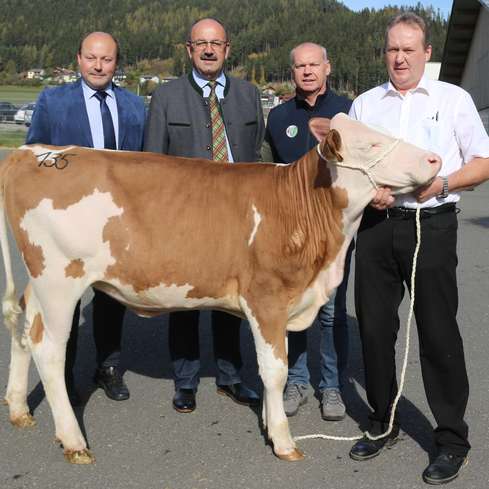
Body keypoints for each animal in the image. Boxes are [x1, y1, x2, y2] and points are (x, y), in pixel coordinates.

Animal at [0, 113, 440, 462]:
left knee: (22, 331)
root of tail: (33, 152)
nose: (434, 158)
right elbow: (274, 370)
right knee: (49, 350)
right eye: (371, 143)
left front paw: (270, 423)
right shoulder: (266, 297)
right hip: (59, 280)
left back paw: (19, 409)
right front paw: (283, 441)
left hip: (39, 284)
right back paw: (73, 441)